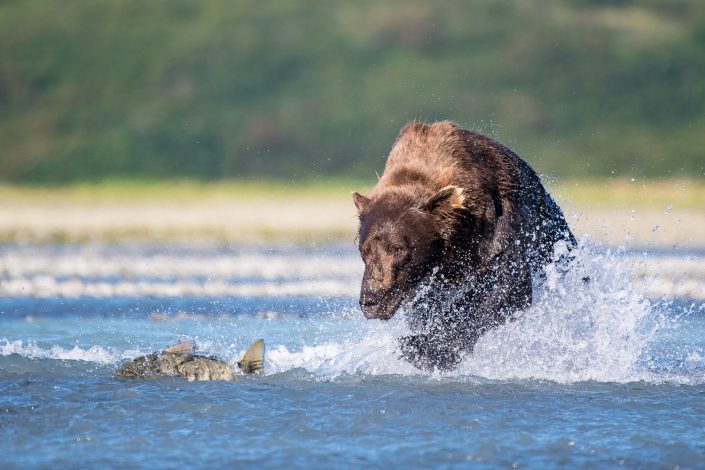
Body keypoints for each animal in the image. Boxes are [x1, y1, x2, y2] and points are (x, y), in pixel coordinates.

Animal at [354, 121, 576, 370]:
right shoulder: (426, 284)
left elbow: (505, 284)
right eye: (364, 250)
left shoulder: (493, 228)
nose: (370, 300)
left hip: (549, 234)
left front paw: (423, 348)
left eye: (398, 248)